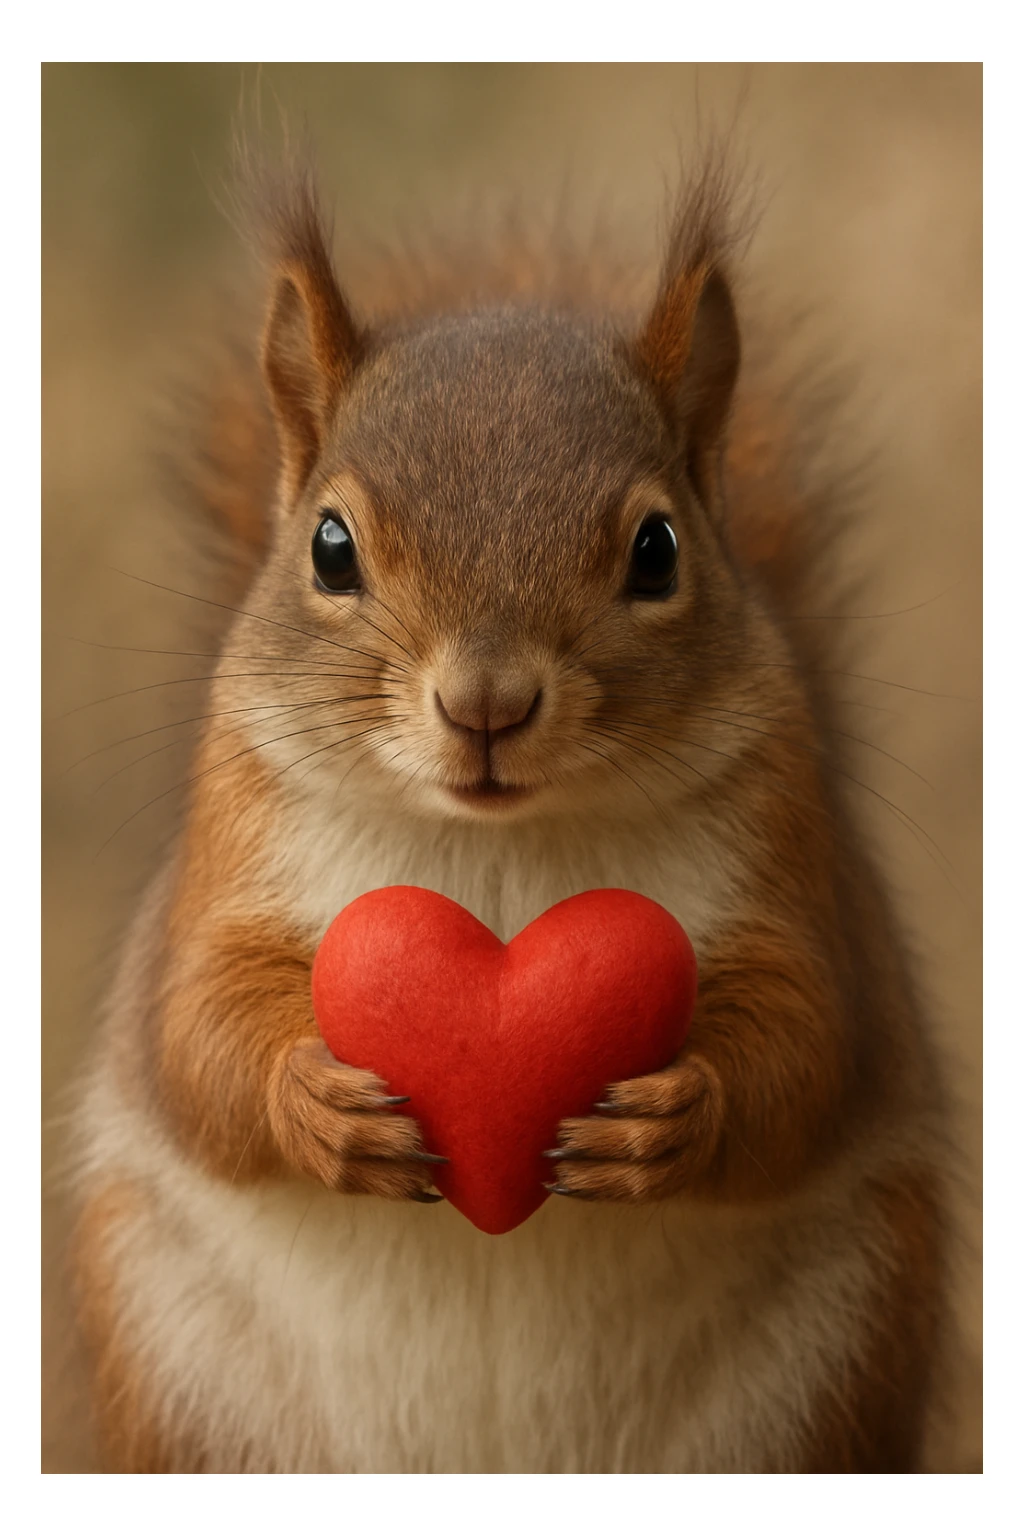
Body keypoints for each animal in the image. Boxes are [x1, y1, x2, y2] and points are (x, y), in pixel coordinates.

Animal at [71, 149, 955, 1474]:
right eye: (328, 547)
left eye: (658, 549)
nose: (485, 704)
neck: (494, 846)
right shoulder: (226, 862)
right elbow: (198, 1036)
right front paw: (316, 1105)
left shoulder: (794, 869)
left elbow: (803, 1046)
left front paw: (672, 1121)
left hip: (842, 1356)